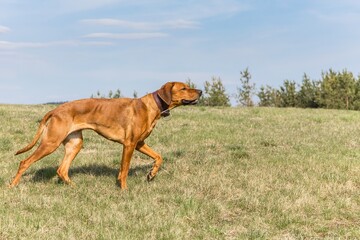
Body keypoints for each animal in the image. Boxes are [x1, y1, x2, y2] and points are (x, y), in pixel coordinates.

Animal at [9, 82, 202, 189]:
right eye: (184, 88)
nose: (200, 91)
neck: (152, 106)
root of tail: (55, 110)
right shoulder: (130, 144)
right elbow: (124, 169)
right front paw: (124, 190)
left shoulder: (139, 143)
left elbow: (159, 157)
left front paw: (151, 174)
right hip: (50, 142)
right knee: (24, 162)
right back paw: (12, 185)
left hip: (75, 143)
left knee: (61, 170)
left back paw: (75, 188)